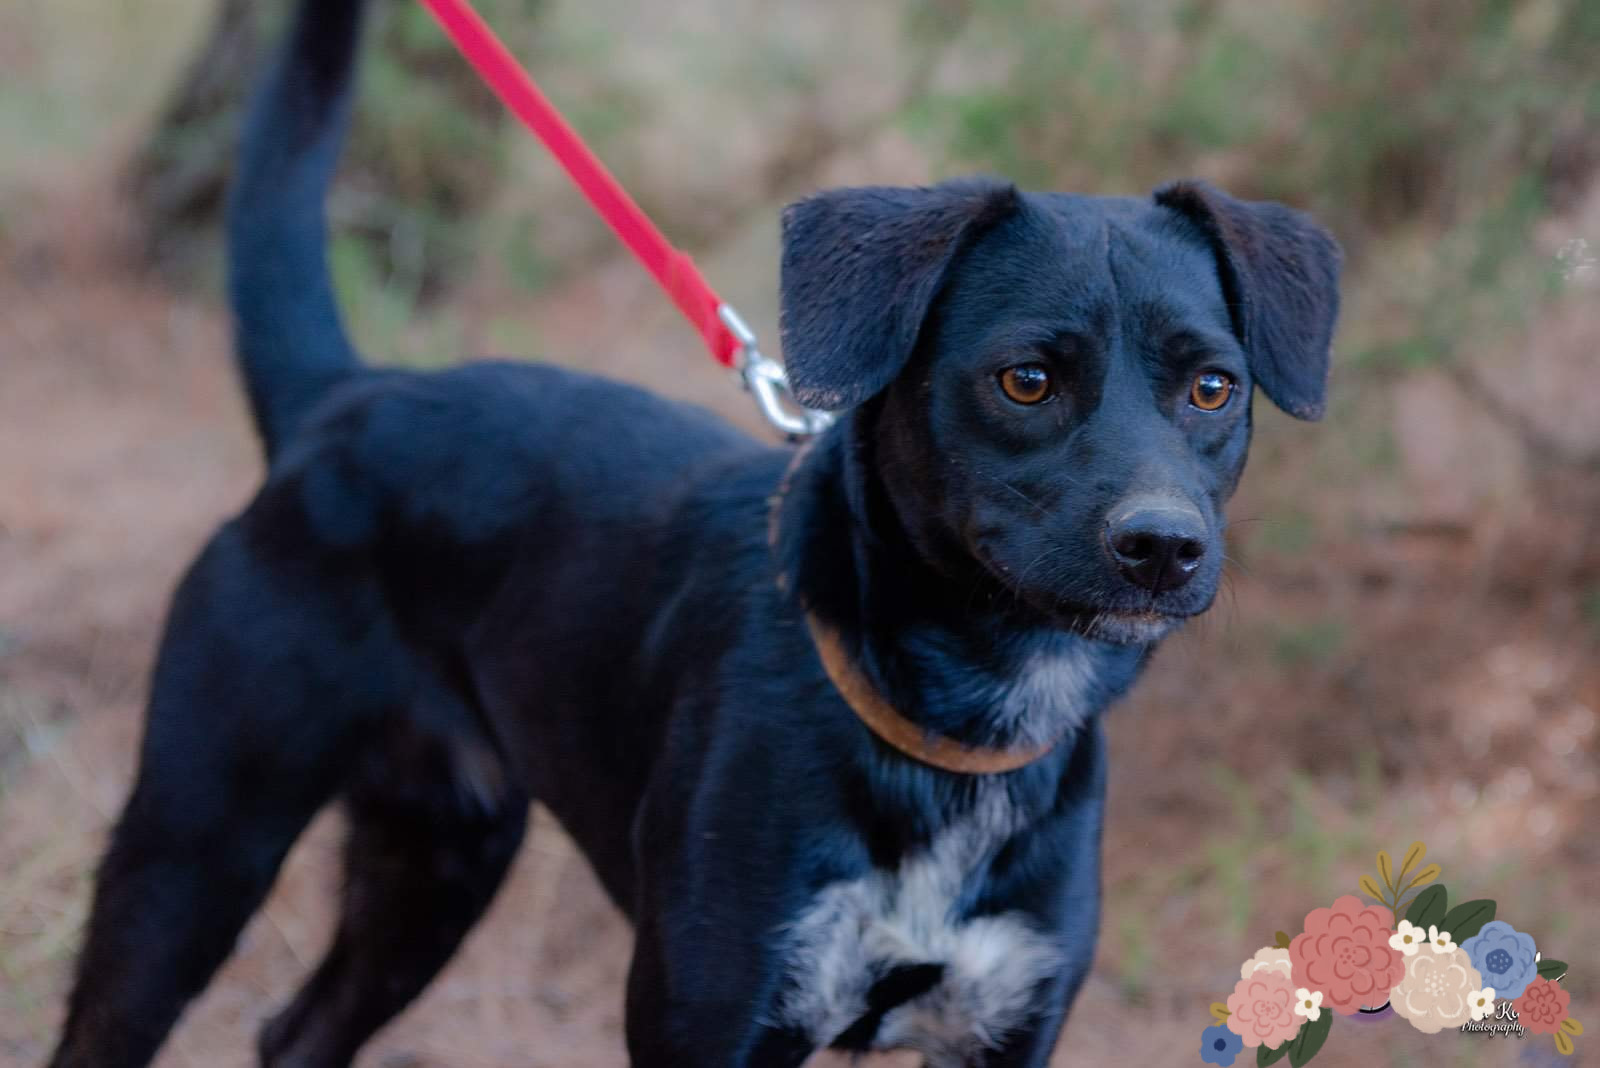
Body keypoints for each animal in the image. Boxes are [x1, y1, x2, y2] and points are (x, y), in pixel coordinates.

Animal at [48, 0, 1340, 1065]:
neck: (949, 733)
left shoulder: (1008, 1023)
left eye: (1212, 389)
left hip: (436, 860)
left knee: (296, 1032)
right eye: (1025, 380)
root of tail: (345, 397)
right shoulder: (710, 1015)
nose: (1162, 547)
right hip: (195, 846)